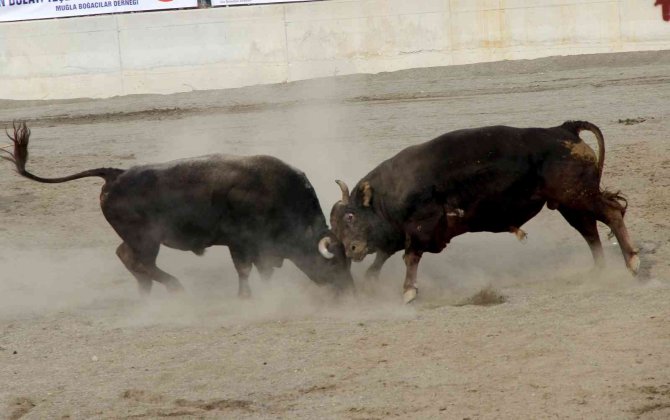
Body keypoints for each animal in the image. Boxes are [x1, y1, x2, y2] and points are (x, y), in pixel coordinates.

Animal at [330, 120, 640, 302]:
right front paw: (371, 282)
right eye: (335, 226)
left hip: (578, 197)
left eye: (350, 216)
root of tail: (563, 130)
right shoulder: (397, 234)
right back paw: (599, 271)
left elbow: (410, 256)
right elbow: (382, 257)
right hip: (569, 204)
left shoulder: (421, 227)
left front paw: (408, 290)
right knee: (589, 231)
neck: (390, 192)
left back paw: (632, 263)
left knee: (612, 213)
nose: (351, 249)